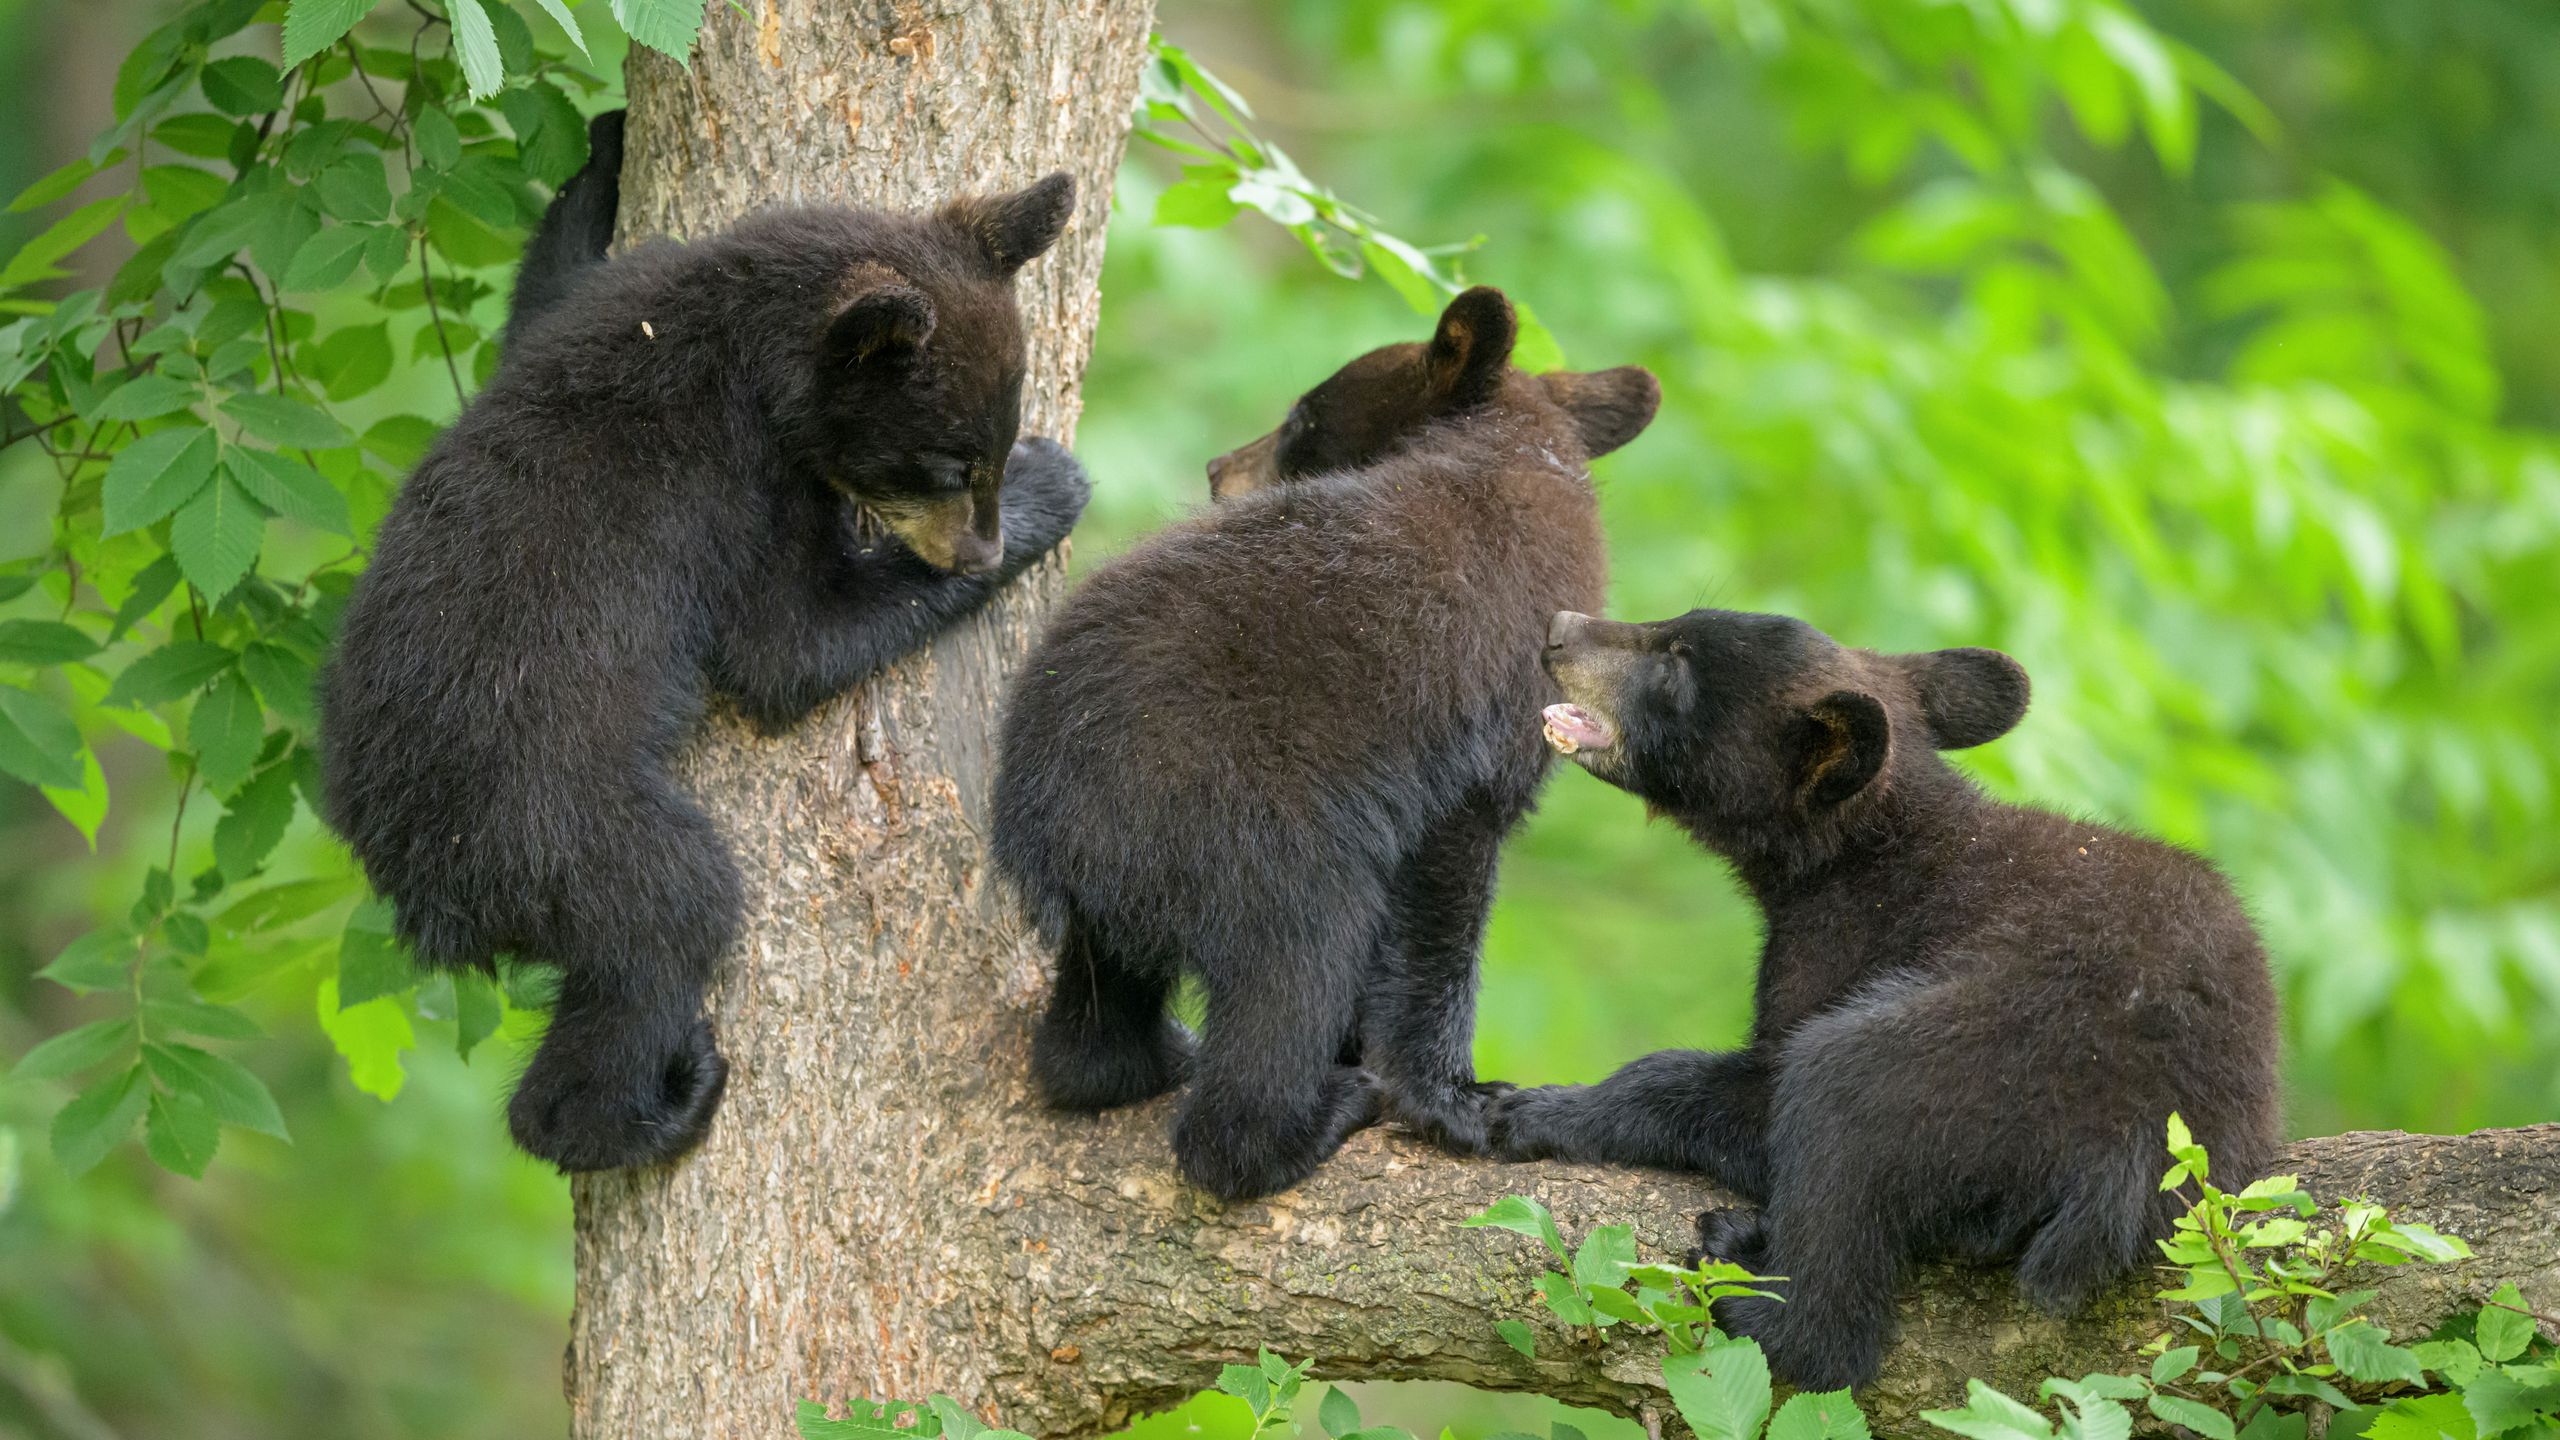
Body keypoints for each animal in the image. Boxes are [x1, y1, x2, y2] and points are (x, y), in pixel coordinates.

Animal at [318, 167, 1093, 1173]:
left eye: (985, 451)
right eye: (948, 465)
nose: (979, 549)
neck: (738, 334)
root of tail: (413, 880)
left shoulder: (601, 305)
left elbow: (541, 296)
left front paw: (598, 156)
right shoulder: (734, 485)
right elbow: (784, 645)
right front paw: (1055, 489)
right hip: (550, 824)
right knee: (671, 916)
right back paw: (646, 1110)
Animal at [989, 287, 1661, 1201]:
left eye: (1304, 417)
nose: (1217, 469)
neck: (1520, 453)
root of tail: (1045, 813)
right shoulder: (1468, 736)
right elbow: (1442, 907)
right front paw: (1458, 1100)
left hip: (1126, 882)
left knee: (1097, 1019)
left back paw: (1137, 1062)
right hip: (1253, 829)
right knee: (1298, 964)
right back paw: (1312, 1115)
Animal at [1490, 607, 2282, 1389]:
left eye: (1676, 661)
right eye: (1677, 623)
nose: (1561, 627)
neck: (1861, 849)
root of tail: (2137, 1141)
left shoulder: (1842, 941)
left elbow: (1755, 1093)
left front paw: (1537, 1108)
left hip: (1986, 1063)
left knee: (1839, 1116)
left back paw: (1753, 1282)